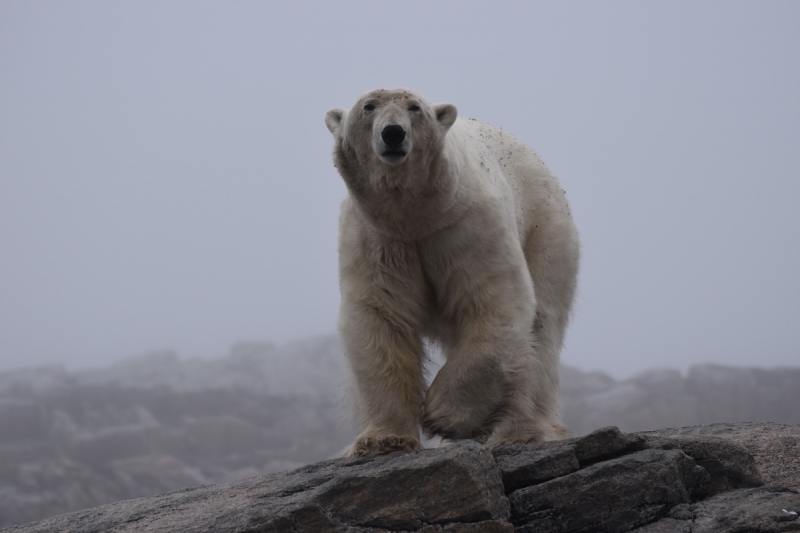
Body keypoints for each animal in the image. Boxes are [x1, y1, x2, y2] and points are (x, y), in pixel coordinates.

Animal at [324, 89, 580, 456]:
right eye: (368, 107)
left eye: (415, 108)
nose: (393, 133)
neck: (415, 215)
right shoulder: (378, 238)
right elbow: (381, 316)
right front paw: (383, 440)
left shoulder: (465, 225)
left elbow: (494, 301)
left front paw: (443, 416)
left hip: (544, 228)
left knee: (542, 327)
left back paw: (523, 431)